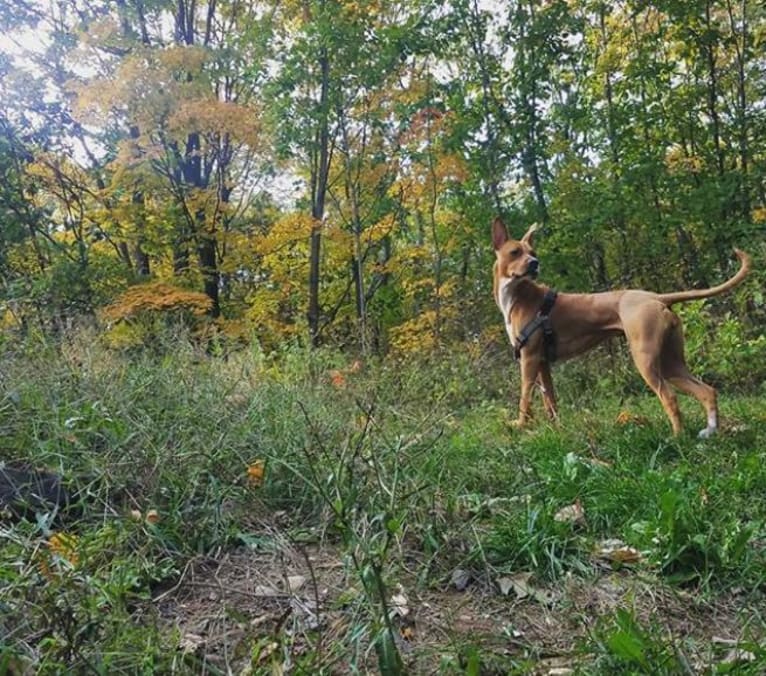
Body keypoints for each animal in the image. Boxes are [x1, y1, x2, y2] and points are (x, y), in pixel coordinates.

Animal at [496, 218, 752, 438]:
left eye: (533, 253)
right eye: (515, 252)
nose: (534, 264)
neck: (517, 296)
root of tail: (656, 297)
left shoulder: (528, 359)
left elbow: (524, 397)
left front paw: (520, 425)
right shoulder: (542, 363)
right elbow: (550, 401)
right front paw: (556, 429)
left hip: (645, 360)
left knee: (669, 397)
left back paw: (677, 438)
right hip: (670, 362)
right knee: (706, 391)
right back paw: (709, 432)